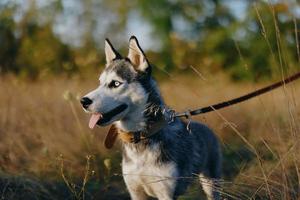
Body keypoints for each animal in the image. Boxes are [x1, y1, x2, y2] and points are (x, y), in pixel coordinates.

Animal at [81, 36, 221, 200]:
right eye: (100, 83)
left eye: (115, 83)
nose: (83, 101)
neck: (141, 136)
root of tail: (206, 128)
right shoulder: (136, 192)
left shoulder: (166, 193)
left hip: (211, 184)